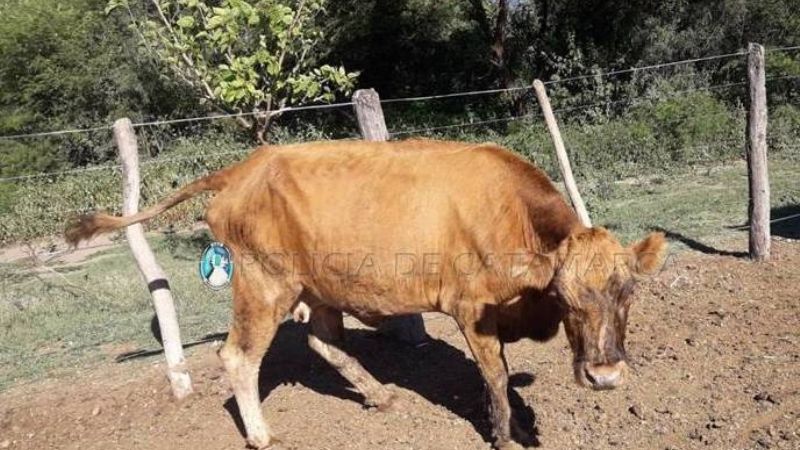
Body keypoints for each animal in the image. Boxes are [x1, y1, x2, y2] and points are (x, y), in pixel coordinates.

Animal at [65, 139, 666, 450]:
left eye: (629, 293)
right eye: (566, 298)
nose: (605, 376)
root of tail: (246, 166)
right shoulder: (471, 309)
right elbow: (495, 376)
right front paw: (504, 433)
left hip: (319, 285)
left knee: (322, 341)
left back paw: (379, 395)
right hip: (264, 283)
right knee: (237, 355)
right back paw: (261, 434)